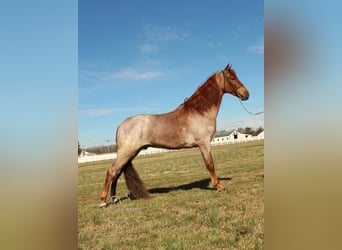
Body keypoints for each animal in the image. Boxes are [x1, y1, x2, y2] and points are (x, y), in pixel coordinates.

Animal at [99, 64, 248, 207]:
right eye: (232, 78)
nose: (246, 94)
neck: (199, 112)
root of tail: (121, 125)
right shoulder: (204, 144)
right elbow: (210, 164)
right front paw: (218, 186)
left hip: (131, 153)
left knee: (117, 173)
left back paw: (114, 199)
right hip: (126, 152)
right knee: (111, 172)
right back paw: (103, 202)